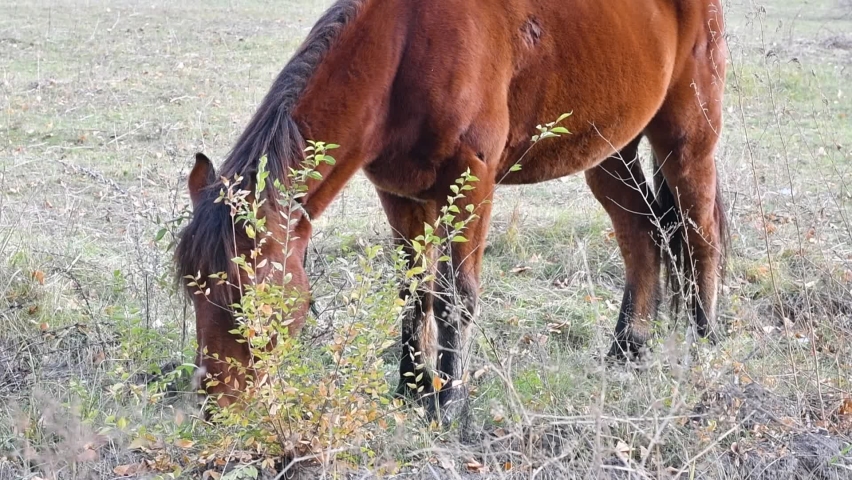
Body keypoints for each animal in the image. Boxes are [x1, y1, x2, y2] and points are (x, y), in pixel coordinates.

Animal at [176, 0, 728, 422]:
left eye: (247, 296)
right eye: (192, 292)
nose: (216, 407)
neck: (402, 51)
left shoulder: (472, 185)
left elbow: (454, 298)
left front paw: (451, 404)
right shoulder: (402, 196)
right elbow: (413, 293)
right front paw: (412, 387)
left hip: (686, 138)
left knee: (699, 234)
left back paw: (703, 344)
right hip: (611, 149)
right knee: (641, 233)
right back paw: (627, 349)